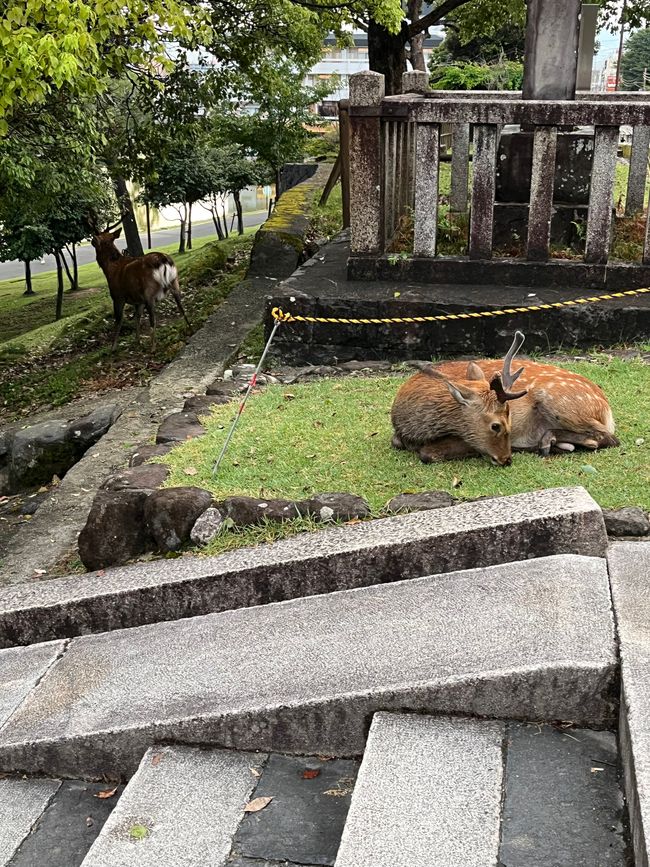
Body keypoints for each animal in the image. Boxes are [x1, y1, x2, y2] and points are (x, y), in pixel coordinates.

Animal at [390, 332, 616, 468]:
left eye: (510, 420)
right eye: (495, 426)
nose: (506, 460)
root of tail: (605, 407)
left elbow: (427, 453)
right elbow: (397, 442)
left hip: (559, 401)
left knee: (607, 437)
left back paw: (546, 443)